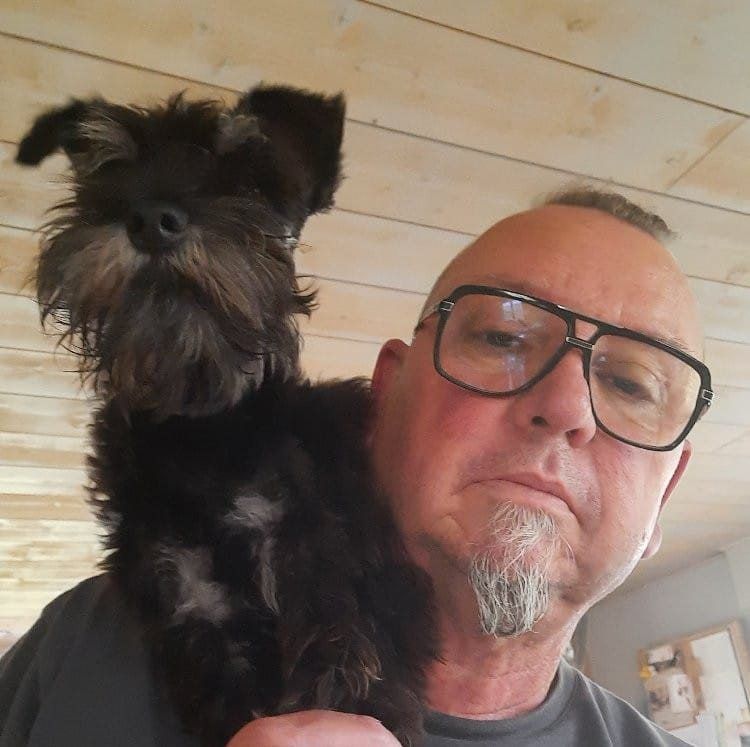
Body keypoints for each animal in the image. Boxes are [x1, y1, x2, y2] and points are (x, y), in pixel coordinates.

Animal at [17, 85, 437, 746]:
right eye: (109, 167)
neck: (198, 426)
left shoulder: (306, 554)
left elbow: (344, 667)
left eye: (250, 176)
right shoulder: (190, 598)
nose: (152, 220)